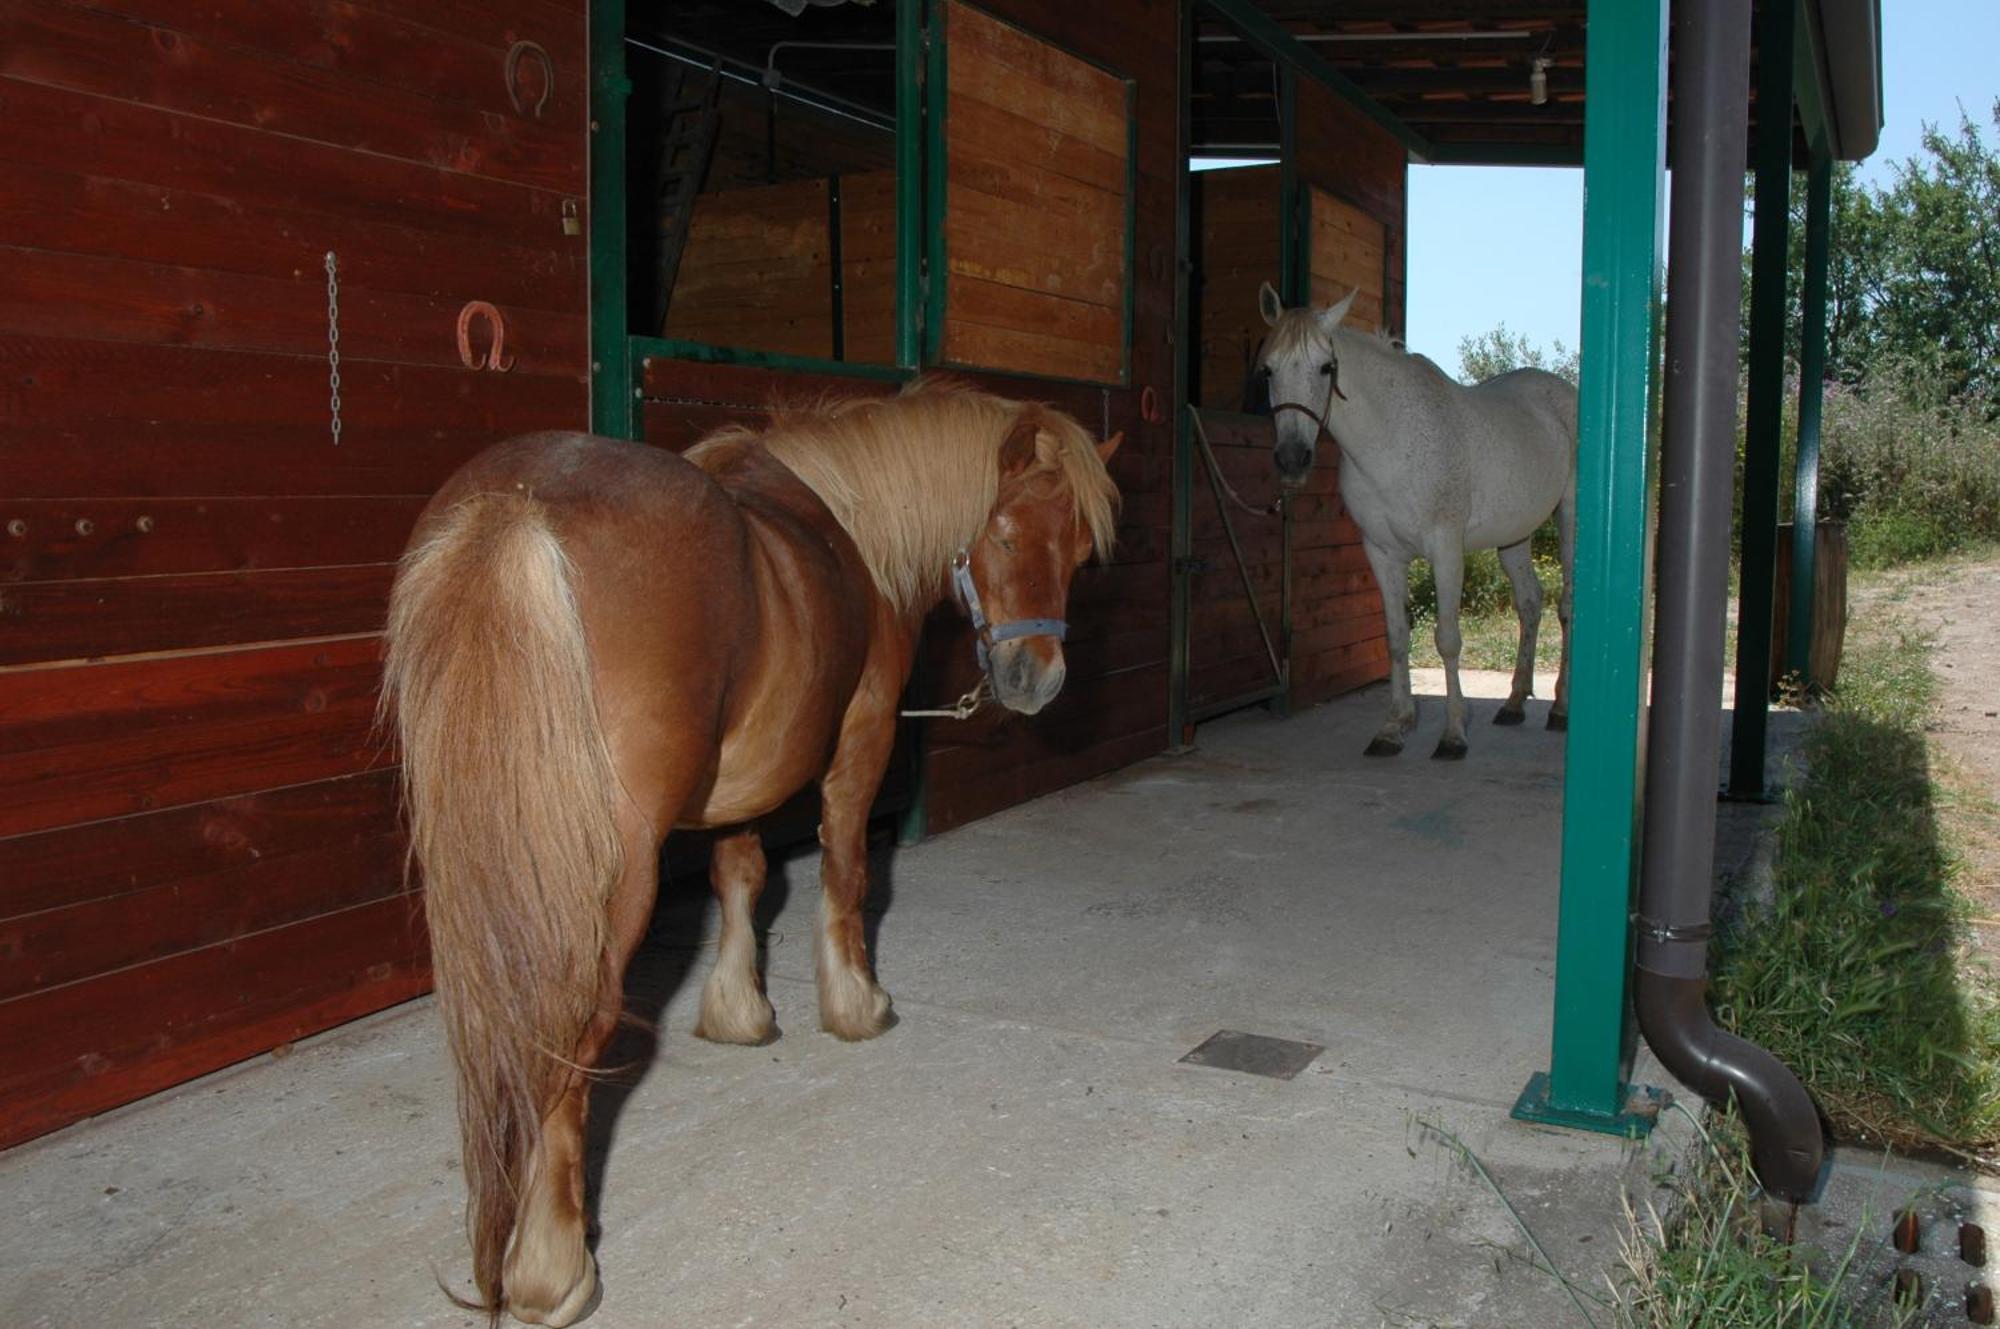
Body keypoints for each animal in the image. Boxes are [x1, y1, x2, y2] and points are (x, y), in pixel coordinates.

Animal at [378, 378, 1128, 1320]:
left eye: (1080, 550)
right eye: (1004, 531)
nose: (1039, 679)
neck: (848, 526)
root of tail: (516, 512)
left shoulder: (737, 778)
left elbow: (740, 875)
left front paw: (738, 1008)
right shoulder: (862, 737)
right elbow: (844, 870)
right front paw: (855, 1000)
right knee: (571, 1027)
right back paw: (554, 1268)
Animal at [1256, 282, 1568, 756]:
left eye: (1326, 368)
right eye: (1269, 370)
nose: (1293, 459)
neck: (1390, 442)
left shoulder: (1445, 549)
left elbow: (1447, 639)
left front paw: (1453, 734)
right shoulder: (1382, 553)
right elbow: (1397, 637)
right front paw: (1394, 727)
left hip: (1571, 518)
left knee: (1566, 606)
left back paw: (1561, 710)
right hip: (1516, 536)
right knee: (1531, 603)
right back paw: (1514, 703)